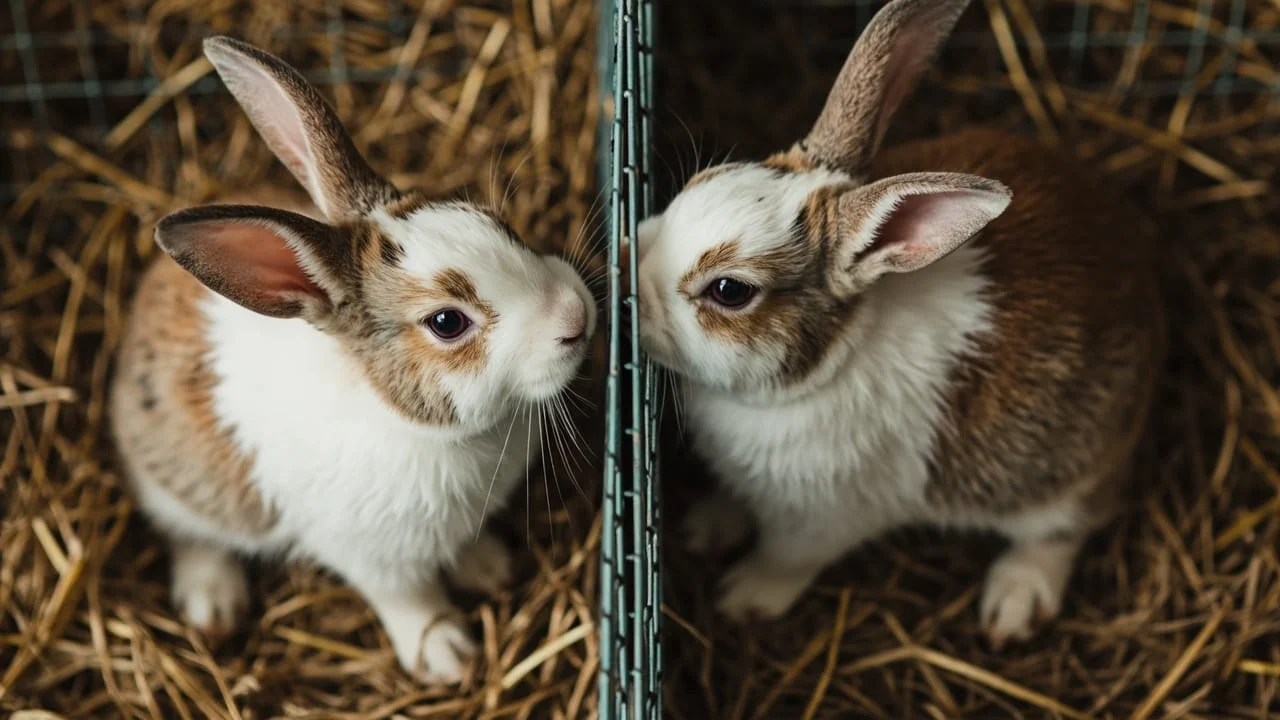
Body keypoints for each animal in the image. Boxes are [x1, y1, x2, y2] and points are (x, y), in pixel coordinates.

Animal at [108, 36, 597, 684]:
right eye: (447, 323)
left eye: (495, 223)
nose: (577, 315)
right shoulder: (374, 559)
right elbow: (410, 600)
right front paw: (446, 656)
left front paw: (490, 568)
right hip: (176, 484)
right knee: (188, 532)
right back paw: (213, 602)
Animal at [634, 0, 1163, 647]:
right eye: (696, 185)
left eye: (730, 291)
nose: (627, 276)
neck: (825, 368)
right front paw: (705, 527)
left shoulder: (822, 520)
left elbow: (784, 560)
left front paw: (743, 599)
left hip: (1061, 479)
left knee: (1065, 529)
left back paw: (1014, 603)